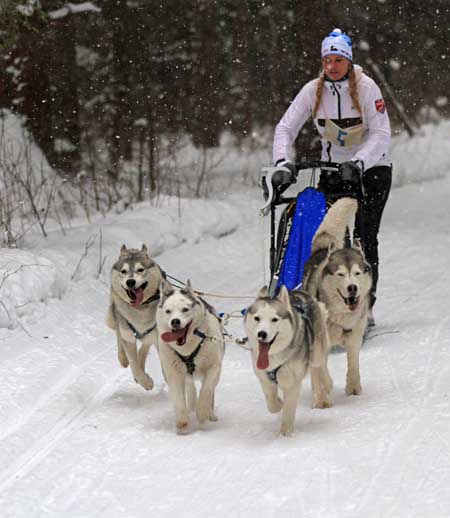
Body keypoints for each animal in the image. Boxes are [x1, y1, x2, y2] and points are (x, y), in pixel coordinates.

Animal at [106, 246, 164, 392]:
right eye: (124, 271)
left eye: (140, 269)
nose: (130, 281)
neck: (139, 310)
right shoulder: (127, 336)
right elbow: (134, 365)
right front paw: (145, 382)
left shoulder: (160, 338)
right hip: (117, 318)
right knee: (118, 335)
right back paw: (123, 358)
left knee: (145, 345)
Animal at [156, 280, 225, 434]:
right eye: (168, 311)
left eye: (185, 309)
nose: (175, 321)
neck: (187, 348)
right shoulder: (173, 373)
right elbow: (179, 398)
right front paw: (182, 422)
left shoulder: (214, 368)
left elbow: (206, 390)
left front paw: (203, 413)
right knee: (190, 388)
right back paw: (191, 408)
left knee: (210, 391)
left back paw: (209, 413)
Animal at [244, 286, 332, 436]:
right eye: (257, 318)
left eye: (274, 319)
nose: (262, 334)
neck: (273, 357)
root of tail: (300, 291)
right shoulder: (264, 379)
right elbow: (272, 404)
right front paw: (279, 403)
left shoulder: (292, 383)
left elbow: (288, 410)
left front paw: (285, 433)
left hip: (317, 350)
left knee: (319, 364)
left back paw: (327, 384)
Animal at [302, 197, 372, 396]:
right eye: (340, 274)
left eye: (356, 273)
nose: (352, 288)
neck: (341, 316)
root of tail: (322, 249)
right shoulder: (319, 341)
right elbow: (321, 367)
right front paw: (324, 386)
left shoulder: (355, 337)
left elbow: (353, 363)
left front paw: (353, 387)